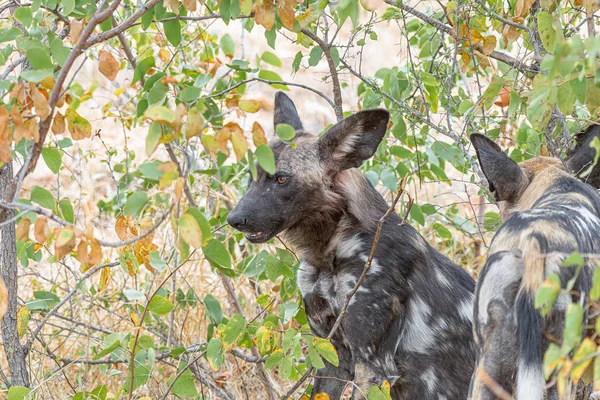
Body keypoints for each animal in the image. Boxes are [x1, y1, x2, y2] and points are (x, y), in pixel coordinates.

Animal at [227, 93, 476, 400]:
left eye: (281, 178)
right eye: (252, 176)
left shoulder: (372, 364)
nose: (234, 219)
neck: (326, 253)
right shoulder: (330, 357)